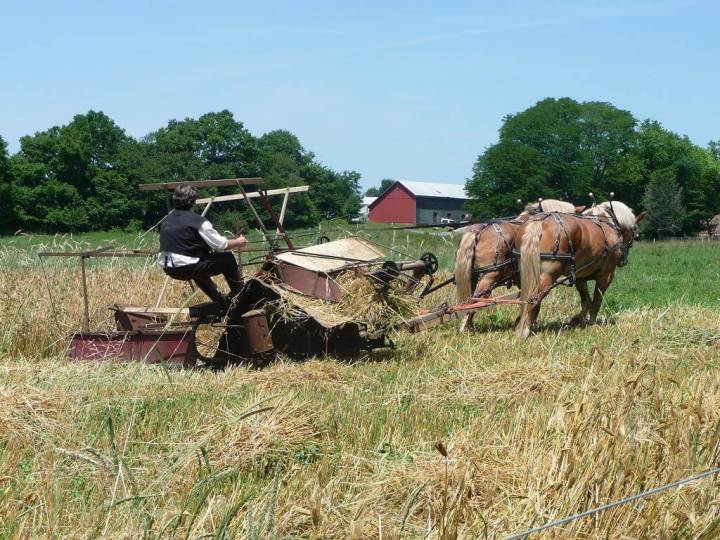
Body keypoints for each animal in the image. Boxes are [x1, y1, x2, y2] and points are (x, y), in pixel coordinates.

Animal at [456, 199, 584, 332]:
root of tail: (479, 231)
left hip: (472, 276)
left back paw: (469, 326)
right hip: (489, 276)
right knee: (474, 300)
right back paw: (464, 328)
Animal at [516, 202, 648, 338]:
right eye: (635, 234)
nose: (623, 261)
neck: (608, 223)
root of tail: (540, 223)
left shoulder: (579, 277)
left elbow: (586, 300)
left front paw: (578, 319)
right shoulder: (606, 276)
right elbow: (596, 301)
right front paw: (592, 324)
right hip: (548, 275)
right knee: (533, 299)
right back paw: (524, 330)